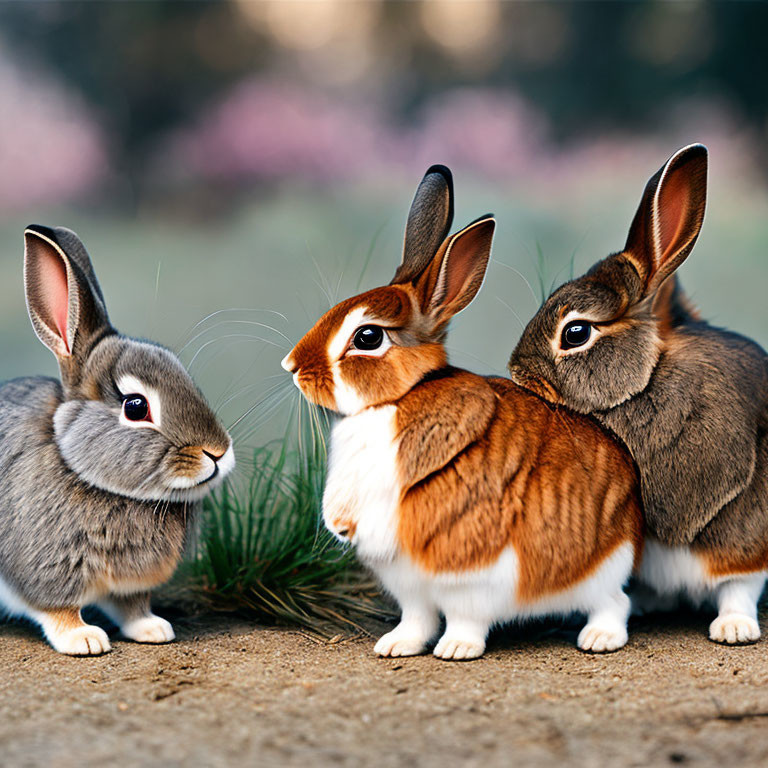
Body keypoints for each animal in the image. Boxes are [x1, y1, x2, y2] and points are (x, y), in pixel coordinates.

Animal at [0, 225, 234, 656]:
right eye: (136, 406)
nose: (218, 452)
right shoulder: (44, 574)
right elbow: (57, 609)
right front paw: (84, 639)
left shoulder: (129, 588)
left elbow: (132, 607)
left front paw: (154, 629)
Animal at [282, 166, 640, 660]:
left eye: (368, 337)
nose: (292, 366)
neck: (396, 401)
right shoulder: (409, 584)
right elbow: (417, 617)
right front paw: (396, 645)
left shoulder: (467, 565)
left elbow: (464, 615)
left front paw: (456, 650)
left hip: (589, 575)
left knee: (616, 603)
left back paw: (596, 638)